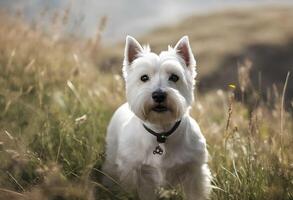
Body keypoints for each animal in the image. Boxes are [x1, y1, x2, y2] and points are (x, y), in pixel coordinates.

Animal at [102, 35, 210, 199]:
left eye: (174, 77)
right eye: (144, 77)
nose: (158, 95)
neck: (161, 132)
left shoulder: (194, 172)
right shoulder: (135, 172)